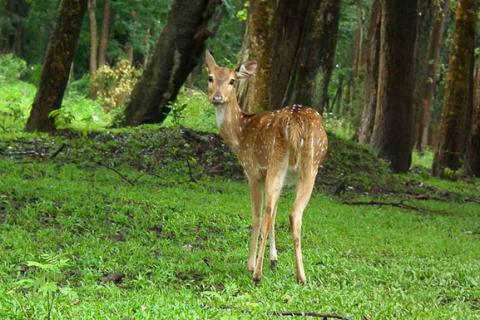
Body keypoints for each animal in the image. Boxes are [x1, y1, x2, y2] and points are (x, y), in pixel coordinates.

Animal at [204, 48, 328, 284]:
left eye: (232, 81)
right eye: (210, 78)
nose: (216, 98)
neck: (240, 135)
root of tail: (296, 123)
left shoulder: (252, 172)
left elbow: (257, 216)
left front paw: (251, 263)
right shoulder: (280, 179)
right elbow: (274, 212)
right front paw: (274, 259)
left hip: (279, 164)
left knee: (270, 212)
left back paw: (257, 272)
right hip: (305, 166)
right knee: (290, 213)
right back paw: (298, 276)